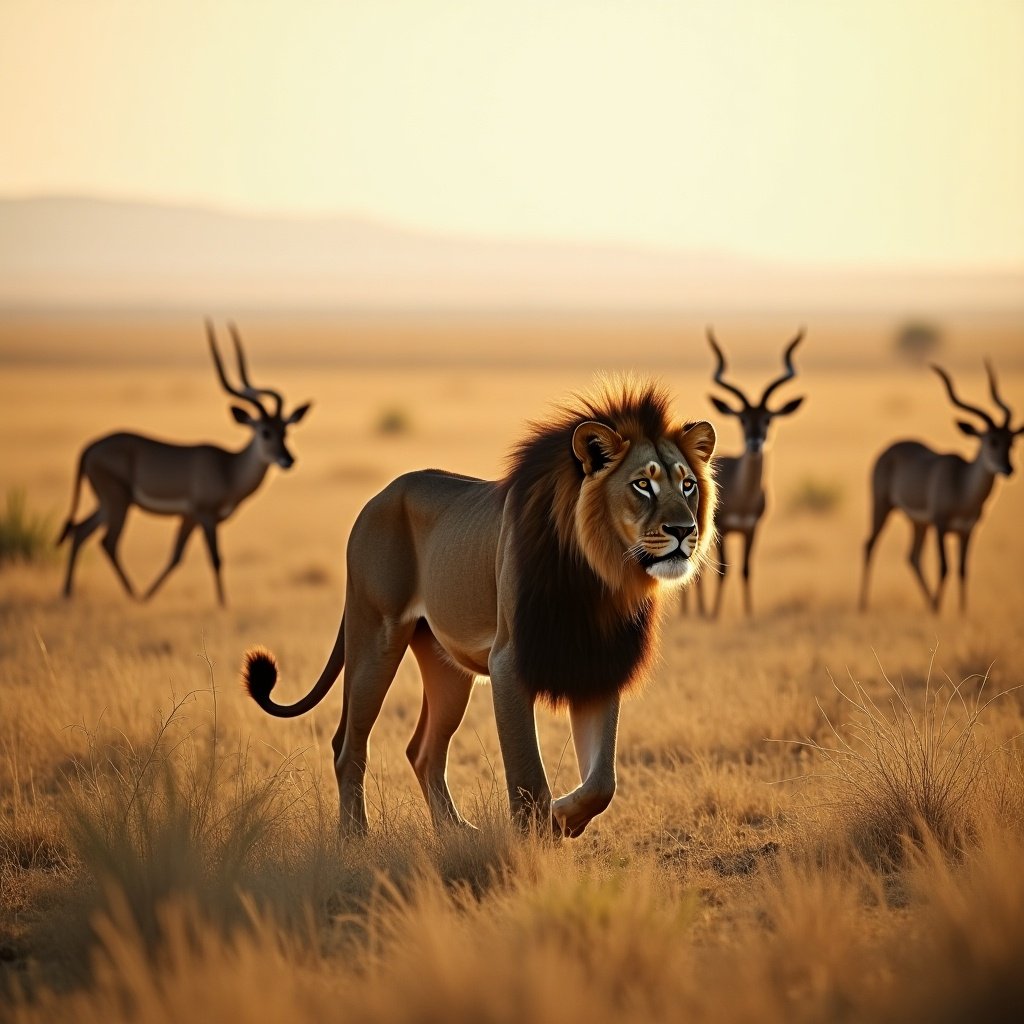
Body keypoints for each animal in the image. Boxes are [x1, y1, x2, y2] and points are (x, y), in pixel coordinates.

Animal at [55, 319, 307, 602]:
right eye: (265, 431)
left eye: (285, 430)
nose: (287, 459)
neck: (228, 467)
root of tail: (89, 448)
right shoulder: (204, 516)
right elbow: (215, 559)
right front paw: (222, 605)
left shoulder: (188, 517)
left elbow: (175, 557)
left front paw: (151, 596)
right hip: (118, 502)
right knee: (107, 542)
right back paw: (132, 595)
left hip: (106, 504)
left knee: (80, 531)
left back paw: (69, 593)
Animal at [243, 380, 716, 835]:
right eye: (642, 484)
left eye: (687, 484)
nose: (683, 530)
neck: (600, 578)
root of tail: (380, 495)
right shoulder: (508, 663)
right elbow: (528, 778)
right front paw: (536, 841)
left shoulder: (598, 666)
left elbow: (602, 782)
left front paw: (562, 818)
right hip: (375, 636)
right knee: (348, 746)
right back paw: (355, 838)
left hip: (446, 668)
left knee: (423, 751)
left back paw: (456, 832)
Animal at [688, 327, 806, 614]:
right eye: (742, 419)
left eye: (768, 418)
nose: (755, 443)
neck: (742, 495)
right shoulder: (722, 530)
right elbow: (722, 572)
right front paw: (714, 616)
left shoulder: (752, 529)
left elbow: (745, 570)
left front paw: (749, 614)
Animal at [860, 362, 1019, 610]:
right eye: (992, 441)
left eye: (1011, 442)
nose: (1008, 468)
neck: (962, 486)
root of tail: (891, 448)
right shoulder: (940, 525)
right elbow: (944, 567)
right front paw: (939, 610)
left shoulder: (968, 530)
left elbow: (963, 570)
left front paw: (961, 612)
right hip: (882, 506)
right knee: (869, 545)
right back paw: (864, 605)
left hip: (918, 522)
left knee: (913, 557)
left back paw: (928, 604)